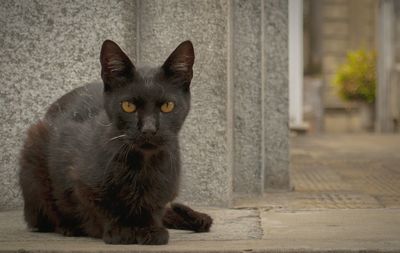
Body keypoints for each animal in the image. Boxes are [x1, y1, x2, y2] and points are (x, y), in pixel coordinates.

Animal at [18, 40, 212, 244]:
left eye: (167, 106)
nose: (148, 129)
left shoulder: (165, 190)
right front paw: (121, 231)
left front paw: (150, 229)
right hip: (33, 151)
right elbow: (101, 207)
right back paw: (68, 227)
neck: (142, 167)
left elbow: (153, 207)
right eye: (128, 106)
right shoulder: (80, 180)